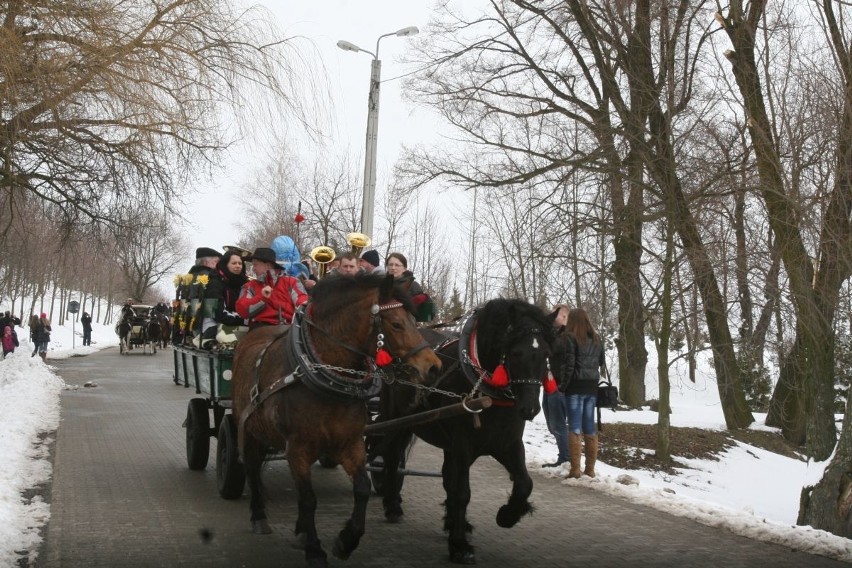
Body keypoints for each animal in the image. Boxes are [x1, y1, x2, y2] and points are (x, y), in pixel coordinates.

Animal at [230, 272, 442, 568]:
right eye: (397, 324)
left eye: (415, 321)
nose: (434, 367)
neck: (322, 372)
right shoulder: (297, 448)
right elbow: (308, 499)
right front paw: (315, 550)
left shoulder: (349, 444)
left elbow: (361, 488)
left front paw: (346, 541)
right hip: (246, 430)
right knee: (250, 468)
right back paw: (259, 517)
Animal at [376, 298, 556, 564]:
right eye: (515, 353)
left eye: (546, 354)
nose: (530, 408)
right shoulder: (463, 444)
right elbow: (461, 492)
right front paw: (460, 546)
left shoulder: (507, 444)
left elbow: (525, 482)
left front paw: (506, 515)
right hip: (397, 421)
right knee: (391, 458)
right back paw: (393, 506)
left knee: (445, 475)